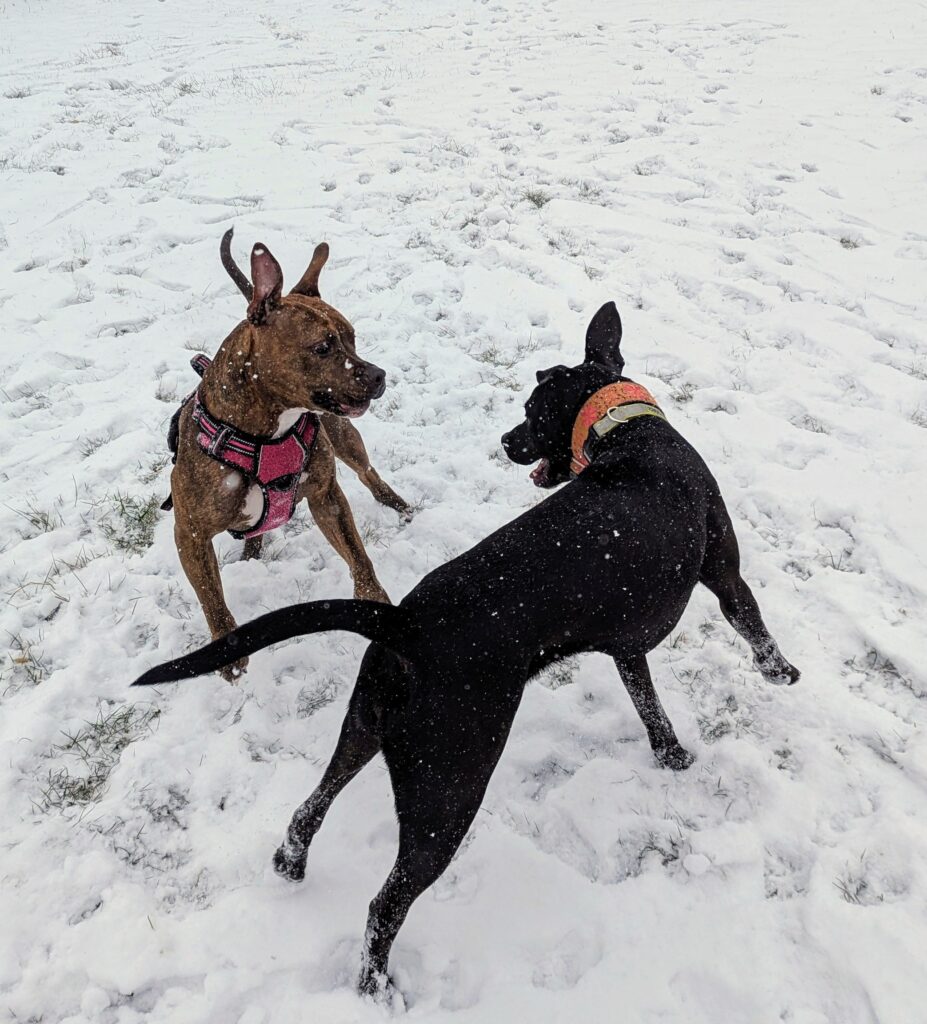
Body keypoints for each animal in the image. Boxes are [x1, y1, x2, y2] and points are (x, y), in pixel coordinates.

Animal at [134, 299, 798, 999]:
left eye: (531, 414)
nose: (506, 441)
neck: (628, 433)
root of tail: (404, 624)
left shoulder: (624, 646)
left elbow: (649, 705)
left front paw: (671, 755)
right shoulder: (724, 574)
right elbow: (751, 624)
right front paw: (782, 674)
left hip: (365, 727)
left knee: (309, 806)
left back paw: (291, 863)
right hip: (448, 788)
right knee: (386, 902)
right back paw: (375, 988)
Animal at [165, 232, 409, 679]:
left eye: (352, 337)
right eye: (323, 347)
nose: (378, 375)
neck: (266, 433)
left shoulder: (327, 496)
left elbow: (358, 554)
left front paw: (374, 599)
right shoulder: (189, 533)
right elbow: (210, 594)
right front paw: (228, 649)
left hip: (345, 436)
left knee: (368, 472)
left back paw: (398, 504)